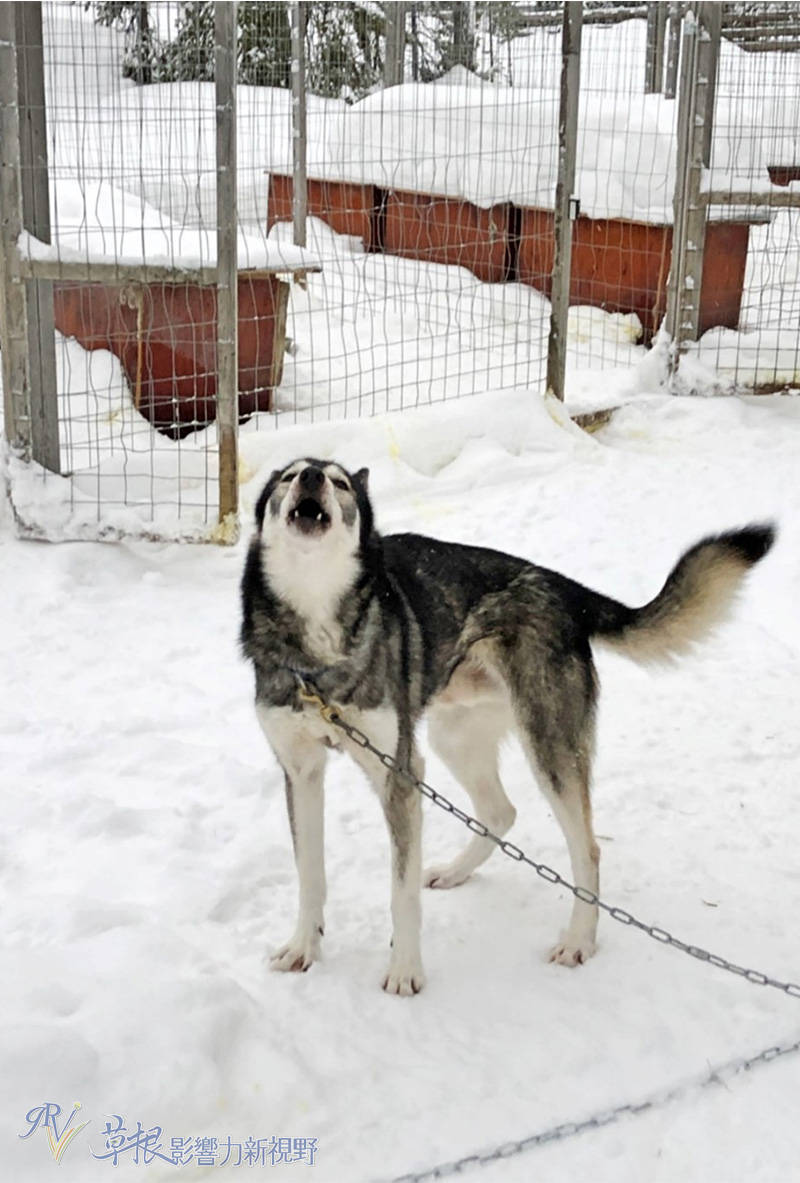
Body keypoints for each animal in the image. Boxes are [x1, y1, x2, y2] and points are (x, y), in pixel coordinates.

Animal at [239, 456, 776, 993]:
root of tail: (564, 589)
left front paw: (405, 970)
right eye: (288, 476)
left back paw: (578, 939)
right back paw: (457, 872)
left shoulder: (399, 773)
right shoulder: (302, 772)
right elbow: (310, 875)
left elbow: (401, 892)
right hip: (453, 738)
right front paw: (303, 948)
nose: (310, 478)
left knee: (588, 850)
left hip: (547, 746)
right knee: (500, 812)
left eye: (339, 482)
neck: (316, 643)